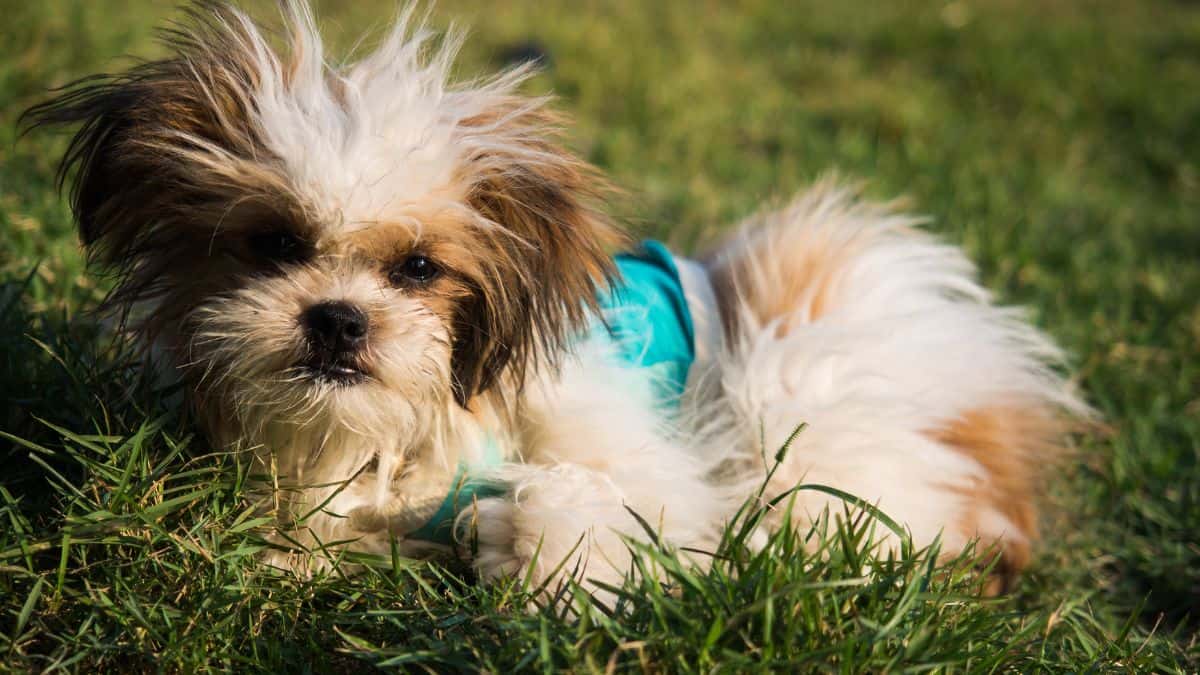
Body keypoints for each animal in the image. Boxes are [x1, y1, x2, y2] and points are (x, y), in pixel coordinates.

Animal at [21, 3, 1089, 593]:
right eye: (274, 244)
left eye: (419, 268)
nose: (336, 317)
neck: (411, 431)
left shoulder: (629, 444)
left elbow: (637, 508)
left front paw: (539, 548)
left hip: (789, 386)